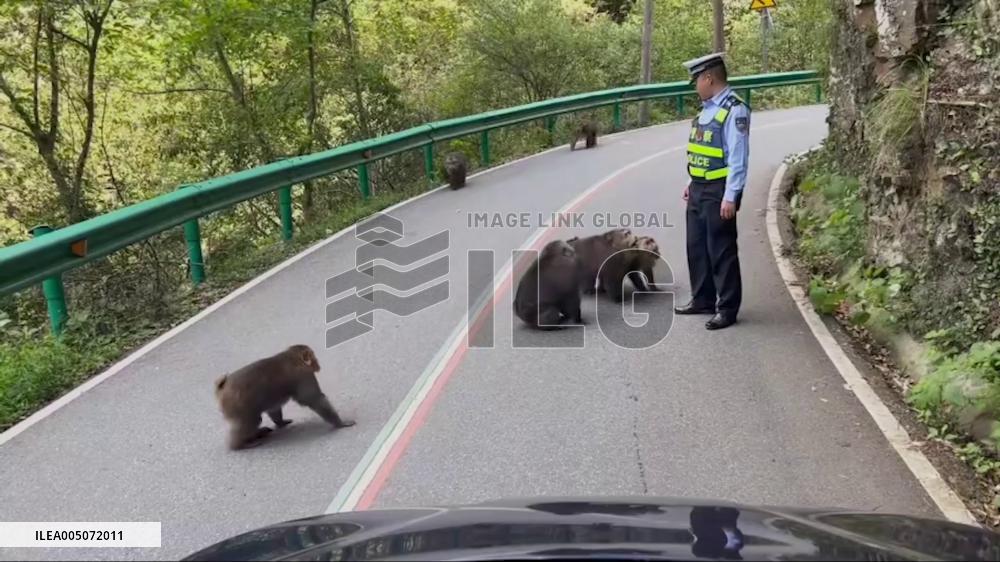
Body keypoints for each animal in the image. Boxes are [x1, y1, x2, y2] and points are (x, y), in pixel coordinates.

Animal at [214, 345, 355, 450]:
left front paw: (281, 422)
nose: (318, 364)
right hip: (238, 407)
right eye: (314, 357)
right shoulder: (304, 376)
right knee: (251, 421)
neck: (293, 357)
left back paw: (257, 434)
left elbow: (274, 408)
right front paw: (341, 423)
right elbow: (314, 399)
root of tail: (222, 388)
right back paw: (239, 445)